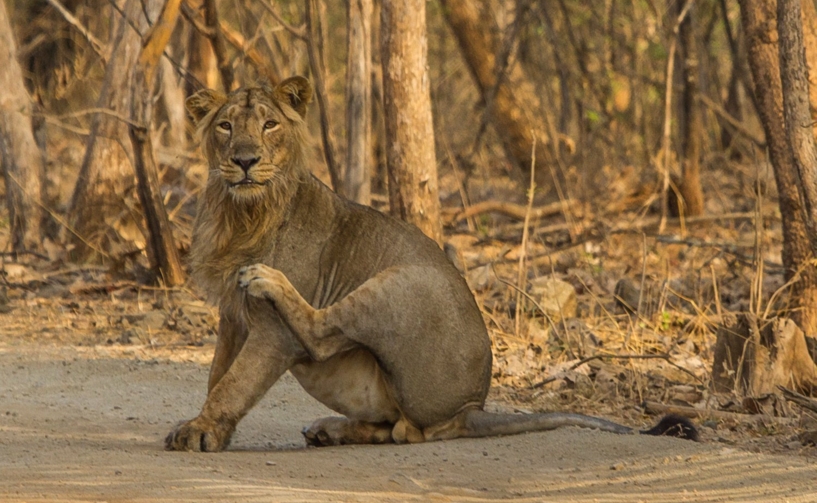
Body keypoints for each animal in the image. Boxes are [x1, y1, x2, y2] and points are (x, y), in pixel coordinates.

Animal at [164, 78, 696, 452]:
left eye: (269, 125)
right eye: (225, 126)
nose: (245, 160)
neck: (239, 214)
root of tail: (473, 404)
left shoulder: (272, 332)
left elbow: (234, 383)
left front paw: (201, 431)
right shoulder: (232, 319)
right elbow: (217, 375)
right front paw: (207, 426)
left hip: (403, 281)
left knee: (324, 338)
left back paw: (268, 282)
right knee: (397, 428)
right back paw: (331, 430)